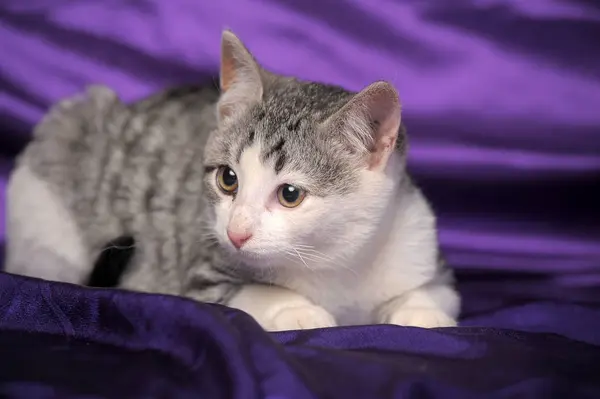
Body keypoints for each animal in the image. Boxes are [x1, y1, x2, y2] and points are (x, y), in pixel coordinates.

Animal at [4, 30, 460, 332]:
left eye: (290, 194)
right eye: (228, 179)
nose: (236, 232)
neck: (333, 261)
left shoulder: (421, 249)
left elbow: (432, 294)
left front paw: (422, 313)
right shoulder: (205, 273)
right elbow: (256, 293)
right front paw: (300, 309)